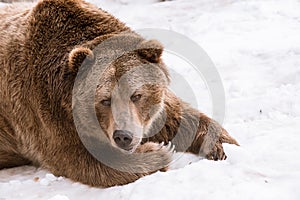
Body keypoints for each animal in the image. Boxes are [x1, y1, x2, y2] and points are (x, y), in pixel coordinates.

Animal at [0, 0, 239, 188]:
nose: (123, 136)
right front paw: (159, 151)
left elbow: (181, 116)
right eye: (105, 100)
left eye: (136, 95)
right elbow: (85, 159)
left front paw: (220, 147)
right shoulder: (47, 113)